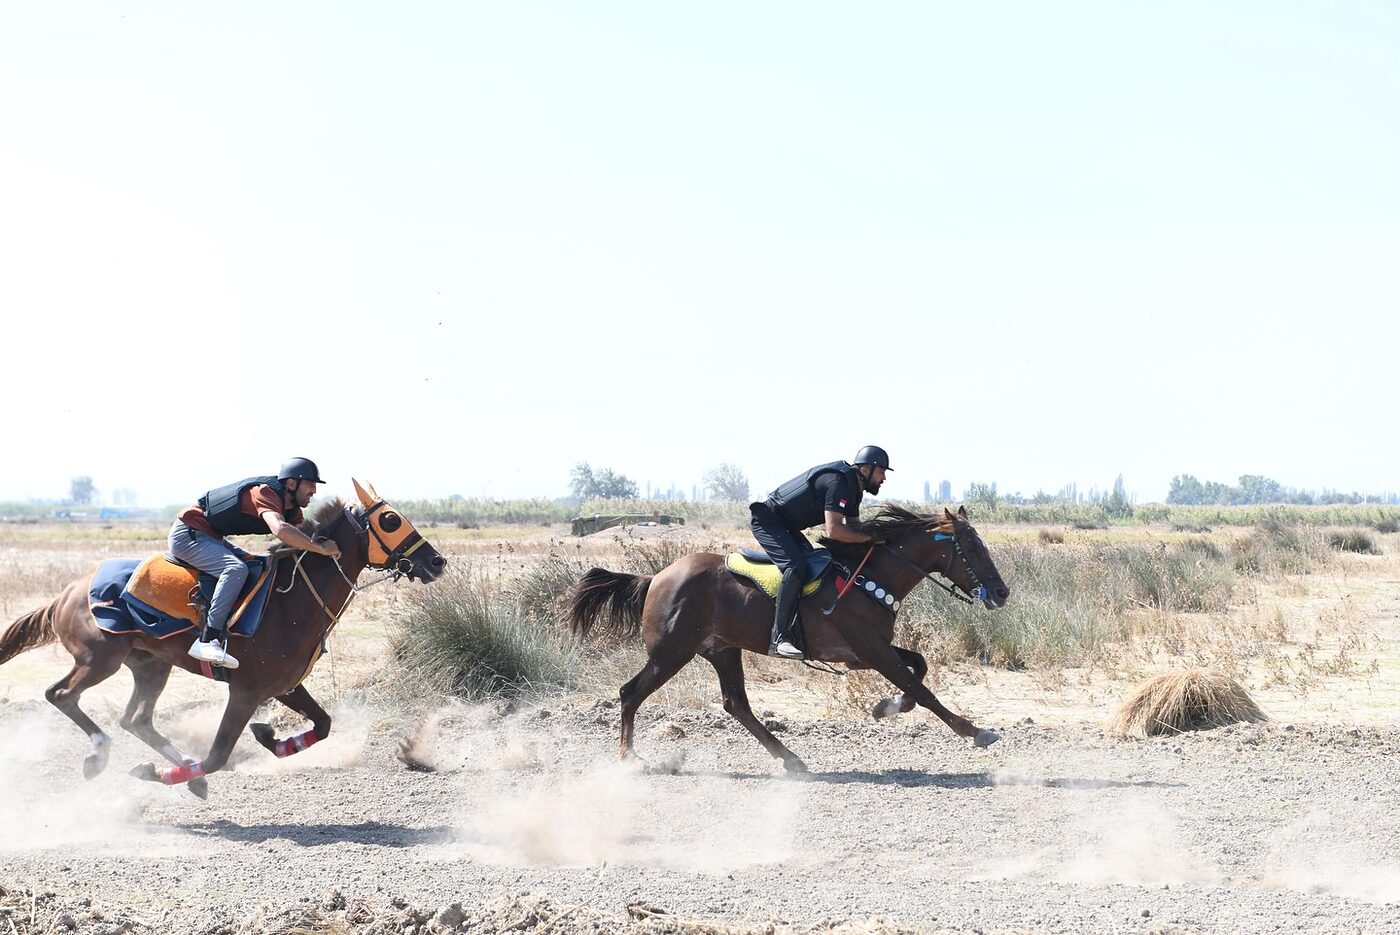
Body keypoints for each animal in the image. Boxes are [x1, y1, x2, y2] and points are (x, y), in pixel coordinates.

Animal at [0, 481, 442, 795]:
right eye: (390, 520)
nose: (436, 561)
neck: (293, 599)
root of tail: (68, 591)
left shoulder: (285, 685)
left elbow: (324, 724)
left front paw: (271, 738)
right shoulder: (245, 691)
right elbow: (215, 756)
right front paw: (154, 773)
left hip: (150, 665)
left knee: (135, 718)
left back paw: (178, 770)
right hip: (99, 659)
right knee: (61, 695)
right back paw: (100, 753)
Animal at [568, 503, 1008, 772]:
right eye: (971, 546)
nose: (1002, 593)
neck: (869, 577)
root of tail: (656, 577)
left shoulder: (863, 652)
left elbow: (919, 667)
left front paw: (886, 707)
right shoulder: (870, 650)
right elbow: (923, 689)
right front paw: (974, 732)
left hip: (722, 650)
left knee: (736, 704)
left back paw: (791, 759)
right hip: (672, 652)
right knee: (630, 693)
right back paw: (629, 757)